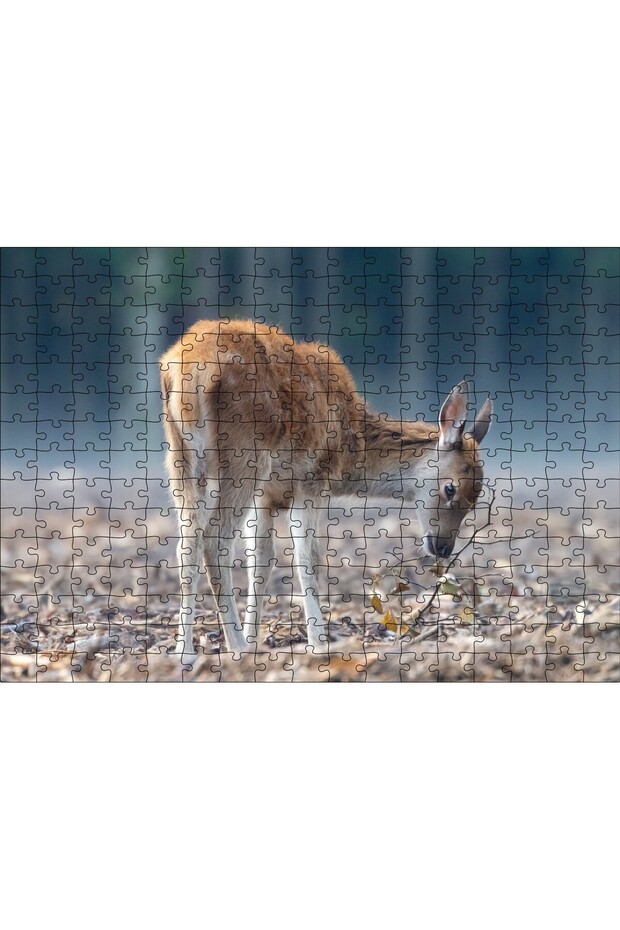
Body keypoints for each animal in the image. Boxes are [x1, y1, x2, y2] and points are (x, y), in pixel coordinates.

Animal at [160, 319, 492, 661]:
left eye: (476, 498)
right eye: (451, 488)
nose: (444, 548)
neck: (351, 447)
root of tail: (189, 371)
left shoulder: (267, 496)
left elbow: (261, 560)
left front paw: (256, 639)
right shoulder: (312, 478)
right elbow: (309, 558)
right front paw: (317, 642)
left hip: (180, 457)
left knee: (187, 542)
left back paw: (186, 650)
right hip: (245, 454)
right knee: (215, 540)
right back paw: (234, 645)